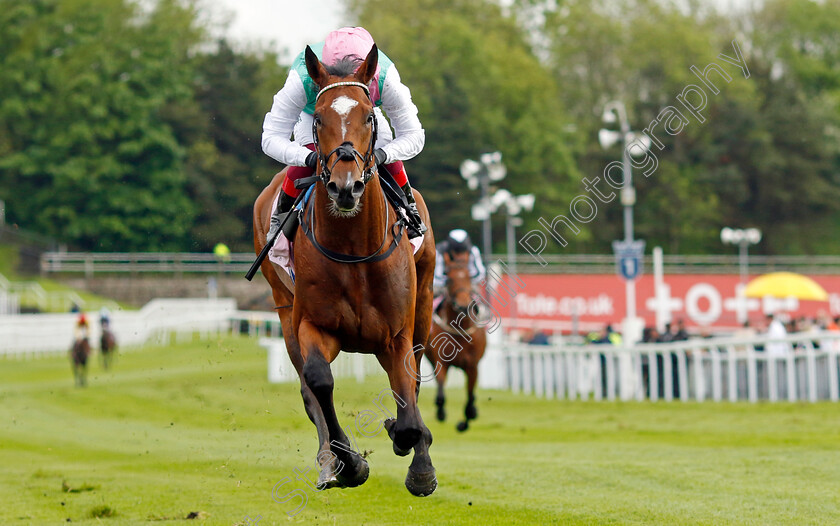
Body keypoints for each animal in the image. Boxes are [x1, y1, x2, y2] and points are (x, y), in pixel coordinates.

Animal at [254, 43, 440, 498]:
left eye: (369, 116)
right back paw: (328, 464)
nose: (345, 186)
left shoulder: (396, 332)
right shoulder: (310, 323)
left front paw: (417, 461)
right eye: (319, 118)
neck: (355, 249)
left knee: (415, 374)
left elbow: (407, 399)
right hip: (283, 309)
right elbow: (319, 382)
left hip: (424, 302)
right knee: (308, 389)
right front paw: (349, 463)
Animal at [426, 252, 486, 434]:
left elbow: (470, 398)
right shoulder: (441, 362)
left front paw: (464, 422)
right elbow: (440, 394)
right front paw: (441, 413)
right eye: (449, 278)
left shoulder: (472, 366)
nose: (462, 306)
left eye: (468, 276)